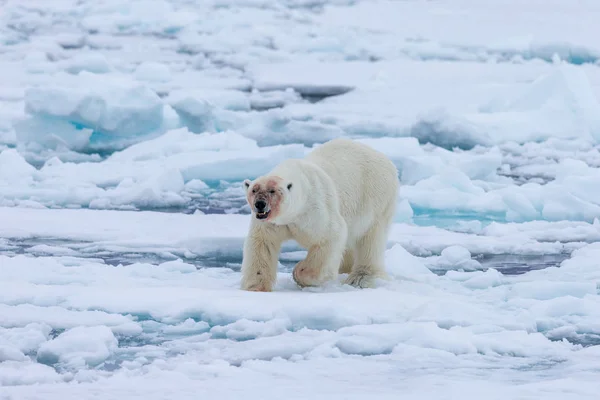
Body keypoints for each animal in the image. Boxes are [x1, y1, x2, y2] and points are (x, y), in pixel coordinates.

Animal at [239, 139, 398, 292]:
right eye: (254, 190)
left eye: (272, 191)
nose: (260, 204)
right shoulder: (270, 223)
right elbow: (262, 243)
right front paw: (255, 287)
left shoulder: (315, 208)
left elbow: (330, 236)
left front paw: (298, 272)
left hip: (376, 196)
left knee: (371, 238)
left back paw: (360, 278)